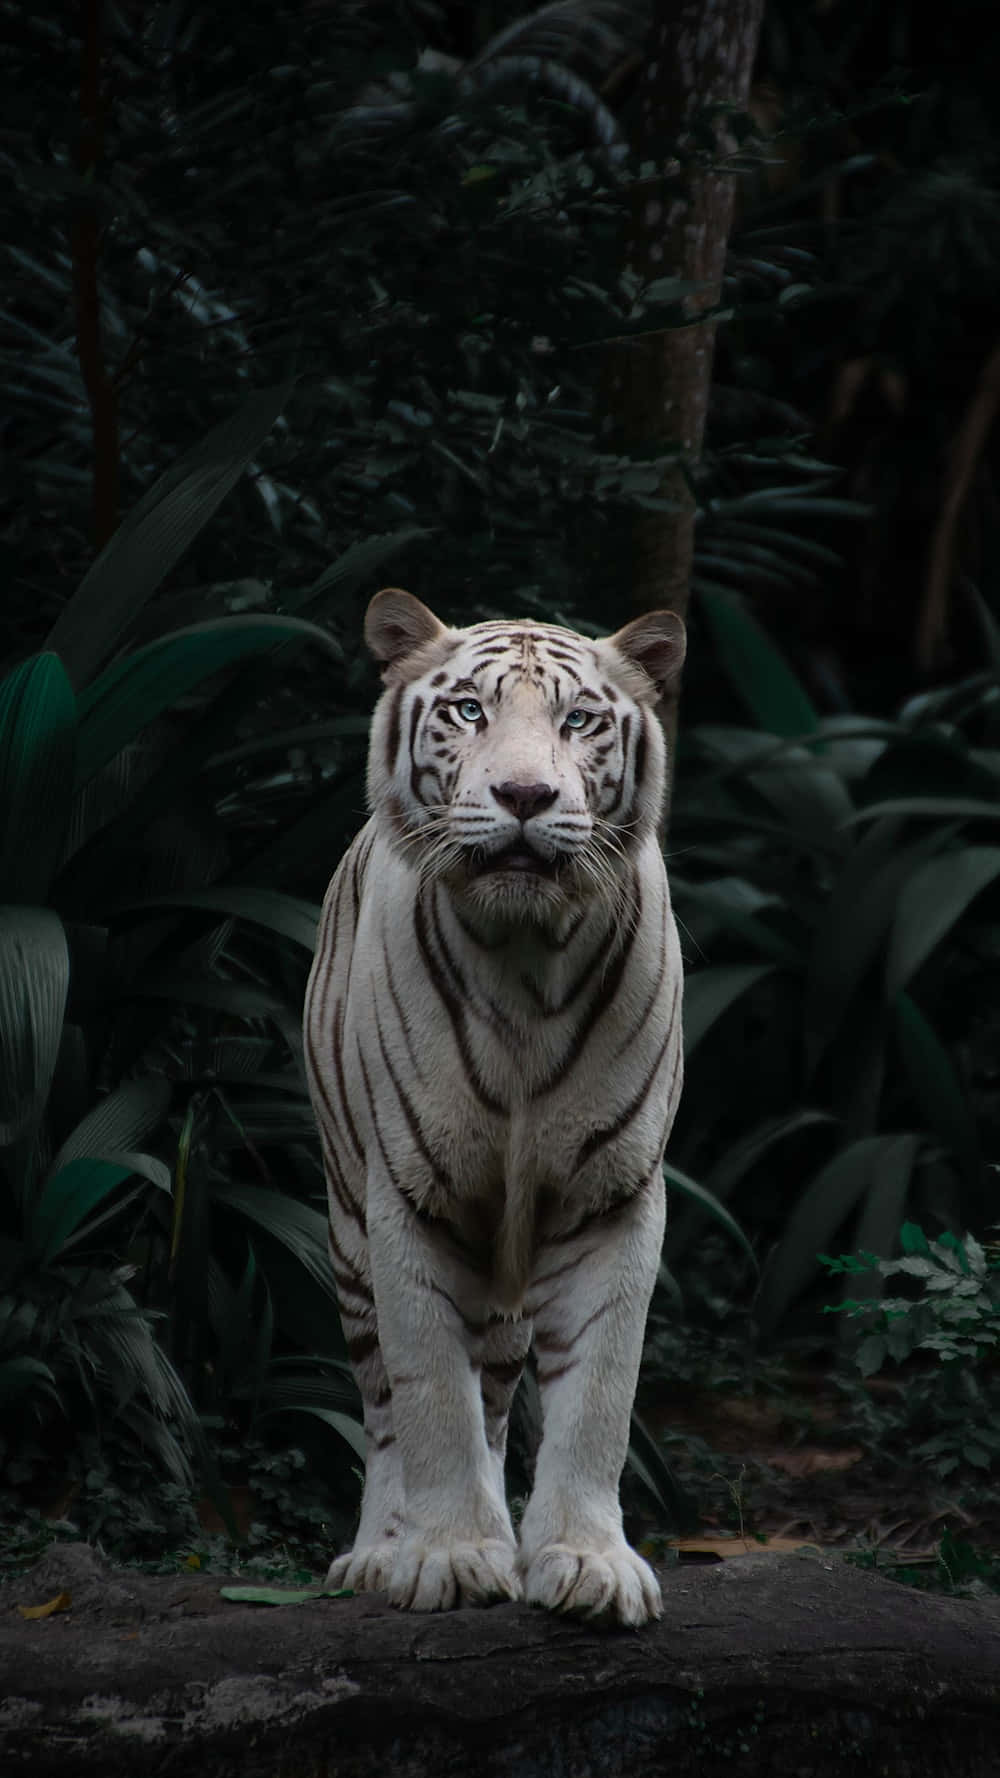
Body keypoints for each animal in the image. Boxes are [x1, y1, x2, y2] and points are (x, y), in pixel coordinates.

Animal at [298, 586, 679, 1628]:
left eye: (578, 720)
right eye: (469, 712)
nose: (524, 797)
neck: (525, 961)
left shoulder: (613, 1197)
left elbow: (600, 1394)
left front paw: (586, 1563)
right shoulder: (407, 1198)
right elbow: (430, 1393)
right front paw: (452, 1556)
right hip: (346, 1230)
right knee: (385, 1404)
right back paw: (379, 1553)